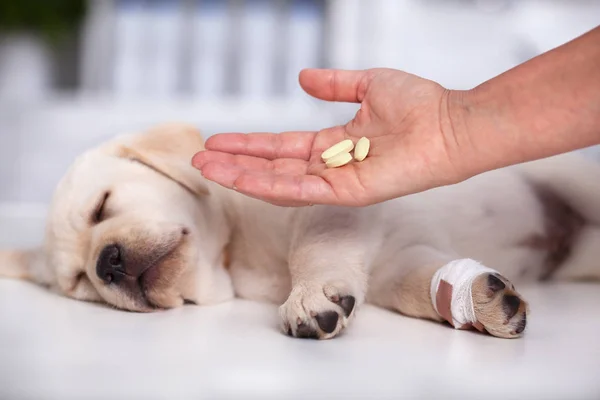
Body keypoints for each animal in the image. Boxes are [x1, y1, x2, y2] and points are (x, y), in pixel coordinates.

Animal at [1, 124, 600, 338]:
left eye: (101, 208)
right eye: (80, 283)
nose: (107, 263)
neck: (234, 253)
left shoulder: (329, 210)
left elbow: (311, 248)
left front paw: (309, 297)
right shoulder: (396, 259)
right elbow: (413, 284)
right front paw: (481, 301)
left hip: (573, 179)